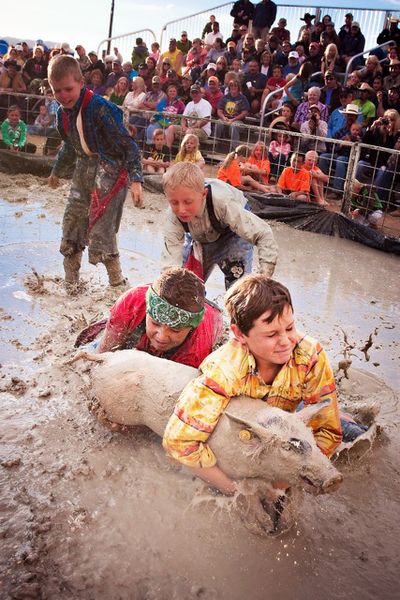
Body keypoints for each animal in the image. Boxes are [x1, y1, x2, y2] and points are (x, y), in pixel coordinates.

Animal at [79, 346, 342, 536]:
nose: (336, 478)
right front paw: (265, 528)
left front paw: (283, 527)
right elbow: (244, 493)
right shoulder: (226, 470)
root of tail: (105, 358)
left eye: (311, 439)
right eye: (289, 446)